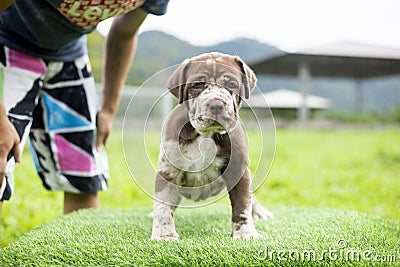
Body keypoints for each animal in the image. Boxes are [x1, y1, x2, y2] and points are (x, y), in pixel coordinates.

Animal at [150, 52, 272, 243]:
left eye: (231, 85)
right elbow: (163, 206)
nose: (216, 105)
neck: (206, 134)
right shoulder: (167, 172)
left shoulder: (239, 170)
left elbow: (243, 205)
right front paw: (164, 235)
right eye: (197, 85)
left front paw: (245, 233)